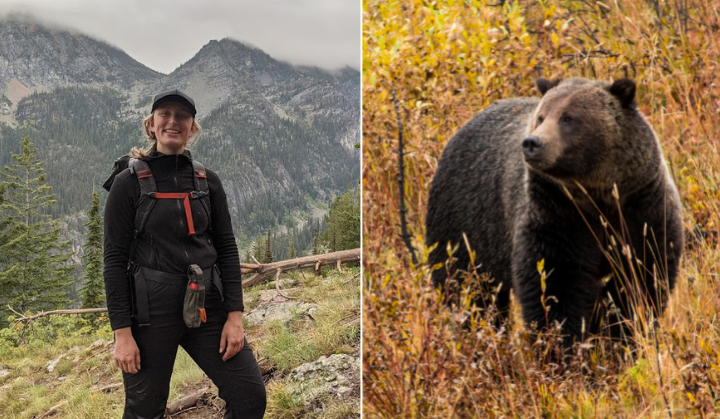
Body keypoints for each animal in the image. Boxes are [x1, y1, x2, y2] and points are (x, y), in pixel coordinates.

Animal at [424, 78, 684, 344]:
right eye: (541, 116)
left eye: (568, 118)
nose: (532, 143)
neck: (598, 196)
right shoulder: (556, 214)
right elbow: (554, 284)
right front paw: (562, 342)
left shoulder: (642, 209)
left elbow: (642, 277)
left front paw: (620, 333)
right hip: (465, 226)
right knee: (469, 291)